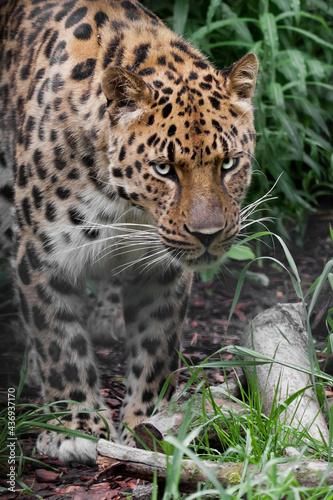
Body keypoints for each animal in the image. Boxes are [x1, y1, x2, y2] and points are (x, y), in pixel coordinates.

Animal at [0, 0, 258, 464]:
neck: (128, 208)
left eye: (229, 163)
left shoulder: (163, 272)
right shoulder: (41, 259)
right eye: (164, 169)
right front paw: (74, 427)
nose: (208, 235)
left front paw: (147, 424)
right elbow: (59, 342)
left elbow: (156, 351)